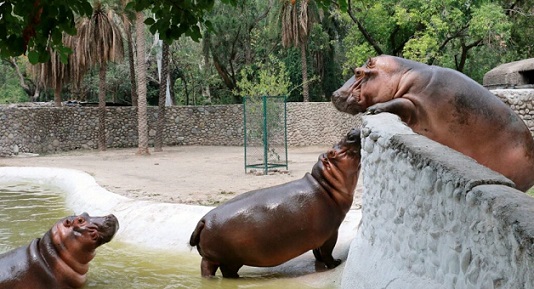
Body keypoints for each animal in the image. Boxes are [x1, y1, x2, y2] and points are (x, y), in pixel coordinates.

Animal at [189, 127, 364, 276]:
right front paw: (335, 263)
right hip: (228, 260)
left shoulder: (318, 236)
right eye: (332, 152)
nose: (351, 131)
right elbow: (327, 252)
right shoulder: (331, 232)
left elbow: (317, 252)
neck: (326, 183)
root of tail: (204, 220)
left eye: (333, 145)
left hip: (216, 259)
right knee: (222, 271)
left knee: (210, 269)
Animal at [332, 55, 534, 192]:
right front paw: (354, 131)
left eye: (358, 72)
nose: (334, 94)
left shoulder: (414, 103)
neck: (401, 75)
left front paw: (373, 108)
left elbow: (398, 102)